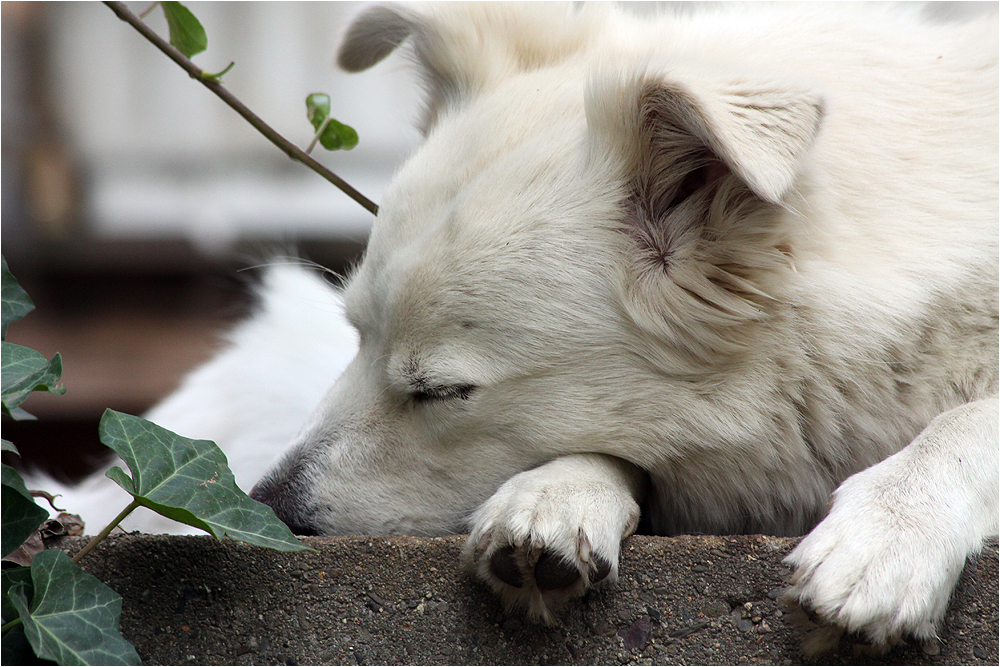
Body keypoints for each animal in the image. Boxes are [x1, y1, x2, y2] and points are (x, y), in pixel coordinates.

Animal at [56, 1, 1000, 656]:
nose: (265, 508)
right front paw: (554, 496)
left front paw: (891, 529)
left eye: (441, 390)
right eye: (355, 335)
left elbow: (971, 420)